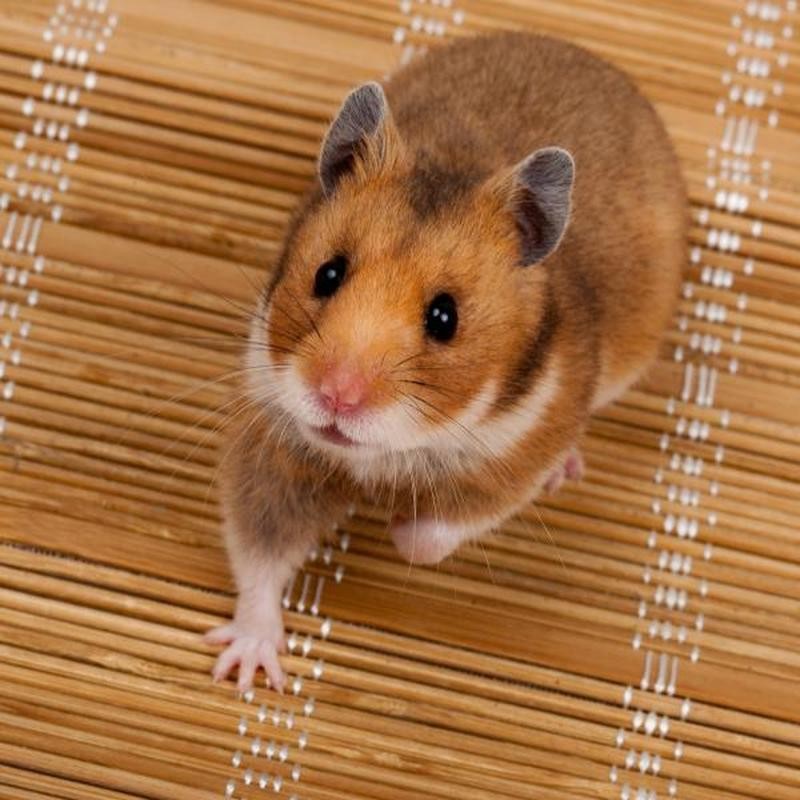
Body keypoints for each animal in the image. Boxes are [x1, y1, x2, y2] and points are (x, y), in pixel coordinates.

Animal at [206, 32, 686, 690]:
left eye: (444, 317)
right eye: (328, 274)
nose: (335, 397)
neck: (386, 453)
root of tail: (583, 54)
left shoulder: (519, 449)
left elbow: (437, 531)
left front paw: (392, 525)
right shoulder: (275, 439)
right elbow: (258, 552)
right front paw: (246, 668)